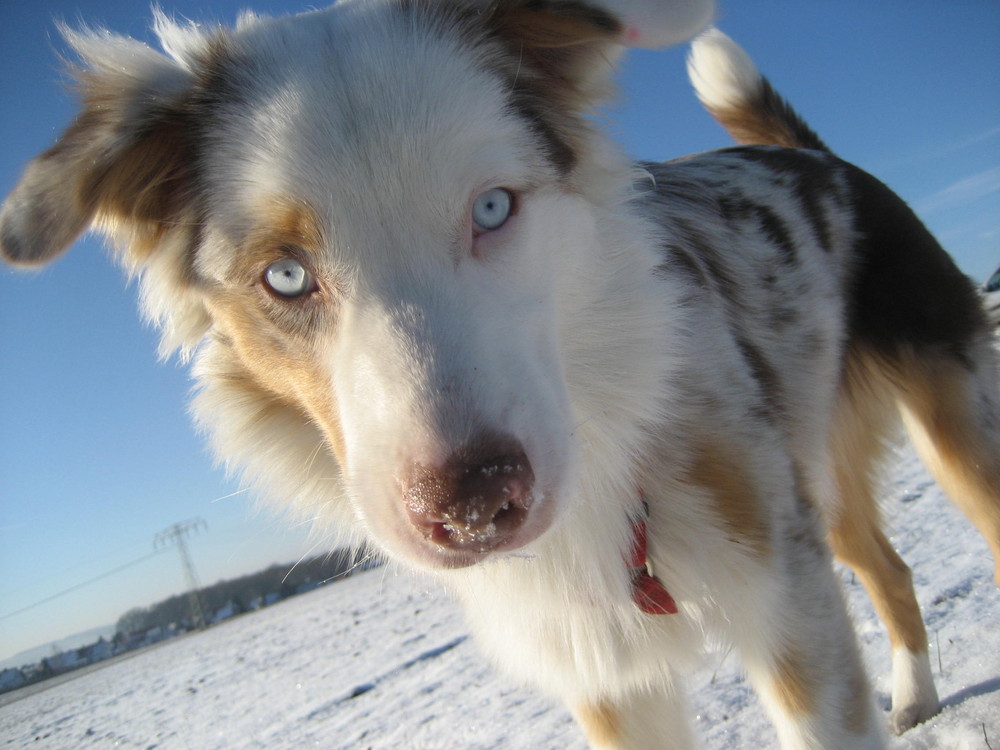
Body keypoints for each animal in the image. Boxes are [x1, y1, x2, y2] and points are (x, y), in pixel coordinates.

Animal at [1, 2, 1000, 748]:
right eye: (284, 276)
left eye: (492, 208)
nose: (474, 501)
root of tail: (816, 155)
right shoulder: (605, 674)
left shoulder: (788, 609)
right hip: (816, 474)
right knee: (888, 567)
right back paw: (916, 699)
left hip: (948, 431)